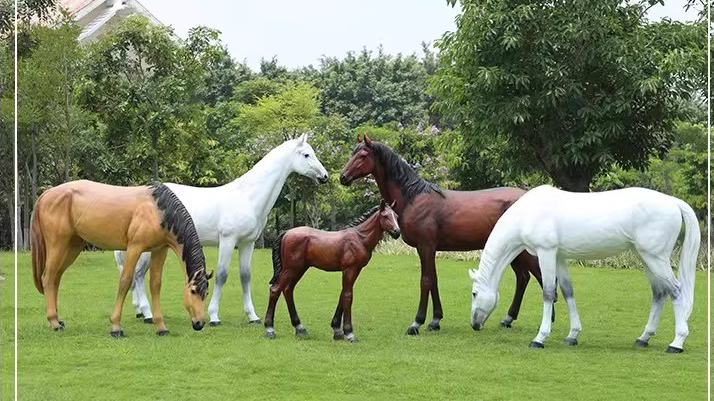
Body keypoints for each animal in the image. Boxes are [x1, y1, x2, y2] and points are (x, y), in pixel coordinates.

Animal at [30, 180, 213, 336]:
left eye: (206, 292)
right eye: (193, 291)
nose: (199, 323)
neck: (158, 209)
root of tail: (47, 194)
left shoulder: (160, 250)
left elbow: (155, 284)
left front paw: (161, 327)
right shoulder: (135, 247)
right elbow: (125, 281)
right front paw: (116, 326)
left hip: (72, 248)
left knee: (56, 278)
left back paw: (58, 320)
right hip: (58, 245)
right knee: (48, 277)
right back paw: (54, 322)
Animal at [115, 133, 329, 325]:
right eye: (306, 155)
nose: (324, 176)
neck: (247, 197)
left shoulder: (247, 243)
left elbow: (245, 276)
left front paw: (253, 316)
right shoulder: (228, 240)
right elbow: (221, 275)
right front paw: (214, 316)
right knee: (138, 275)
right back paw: (147, 314)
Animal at [264, 200, 401, 342]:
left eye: (396, 216)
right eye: (385, 216)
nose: (397, 232)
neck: (360, 238)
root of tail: (287, 233)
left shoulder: (355, 270)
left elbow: (343, 294)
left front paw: (337, 330)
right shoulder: (350, 269)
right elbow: (348, 296)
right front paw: (349, 333)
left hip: (299, 269)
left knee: (287, 290)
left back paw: (299, 327)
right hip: (290, 269)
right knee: (275, 290)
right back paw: (270, 329)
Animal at [339, 134, 546, 335]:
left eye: (362, 156)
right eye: (352, 154)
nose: (343, 177)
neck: (413, 198)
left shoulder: (426, 247)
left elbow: (425, 281)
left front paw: (417, 323)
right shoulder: (428, 249)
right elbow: (434, 281)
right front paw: (435, 321)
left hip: (523, 251)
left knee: (538, 276)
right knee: (523, 277)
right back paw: (508, 319)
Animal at [469, 185, 700, 353]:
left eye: (474, 293)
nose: (474, 325)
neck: (529, 213)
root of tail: (673, 202)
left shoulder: (547, 253)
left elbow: (548, 293)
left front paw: (540, 338)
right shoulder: (560, 257)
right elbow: (567, 292)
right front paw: (572, 335)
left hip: (656, 258)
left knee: (676, 290)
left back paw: (676, 343)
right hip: (647, 258)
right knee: (660, 292)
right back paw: (643, 338)